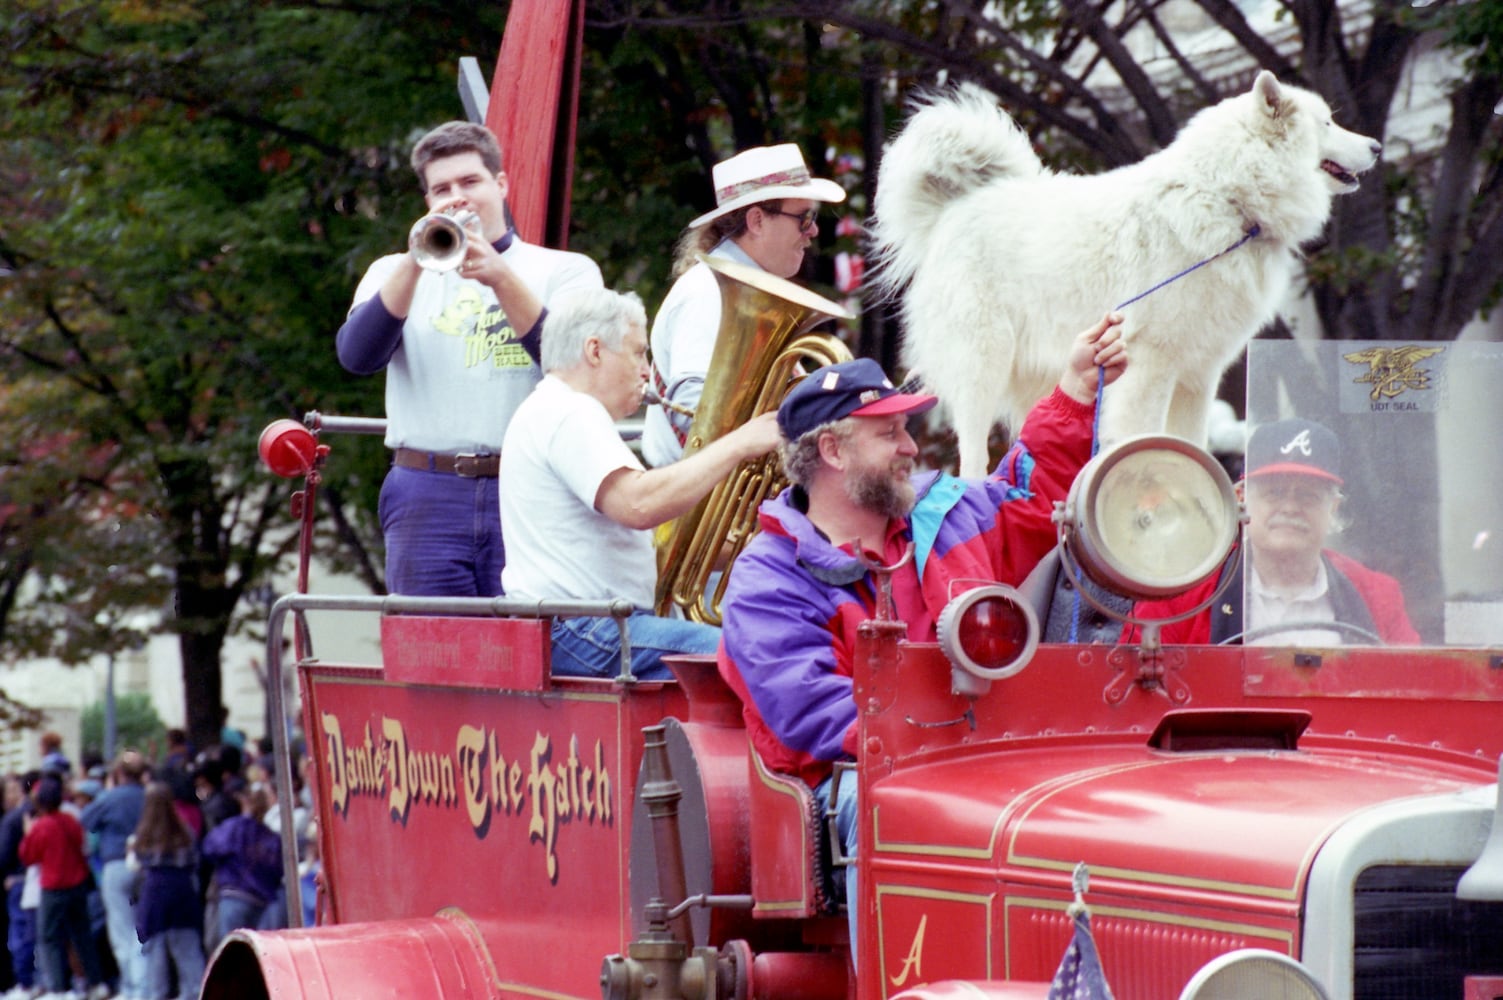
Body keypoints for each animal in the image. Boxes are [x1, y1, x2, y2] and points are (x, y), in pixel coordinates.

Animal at [877, 70, 1376, 475]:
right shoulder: (1150, 366)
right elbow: (1144, 436)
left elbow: (1192, 445)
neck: (1228, 201)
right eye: (1328, 123)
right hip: (983, 365)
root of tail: (956, 208)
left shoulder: (1198, 377)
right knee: (974, 454)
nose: (1376, 146)